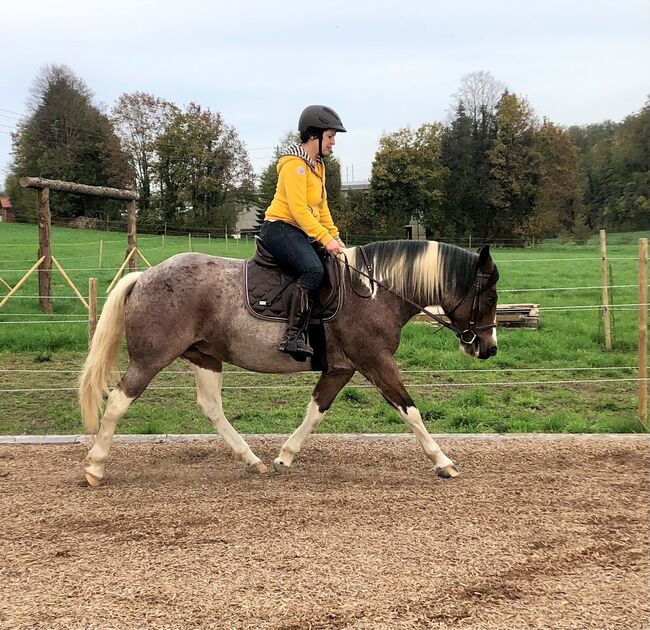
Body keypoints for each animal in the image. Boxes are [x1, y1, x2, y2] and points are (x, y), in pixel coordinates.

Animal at [78, 239, 498, 486]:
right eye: (490, 297)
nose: (489, 348)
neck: (374, 292)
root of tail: (145, 276)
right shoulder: (375, 361)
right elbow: (410, 410)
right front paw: (442, 461)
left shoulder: (341, 369)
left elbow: (315, 411)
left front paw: (284, 456)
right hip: (151, 359)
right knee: (117, 402)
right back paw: (95, 466)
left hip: (206, 356)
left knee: (211, 407)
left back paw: (252, 460)